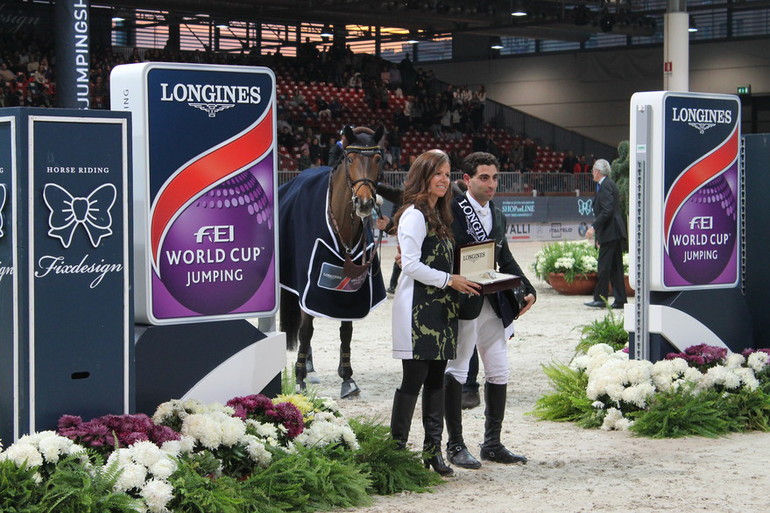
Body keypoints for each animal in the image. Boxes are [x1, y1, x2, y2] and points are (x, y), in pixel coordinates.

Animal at [278, 125, 388, 396]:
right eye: (350, 159)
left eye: (378, 159)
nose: (364, 203)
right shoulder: (309, 282)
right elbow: (306, 329)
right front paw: (299, 377)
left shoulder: (352, 289)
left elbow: (346, 330)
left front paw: (348, 378)